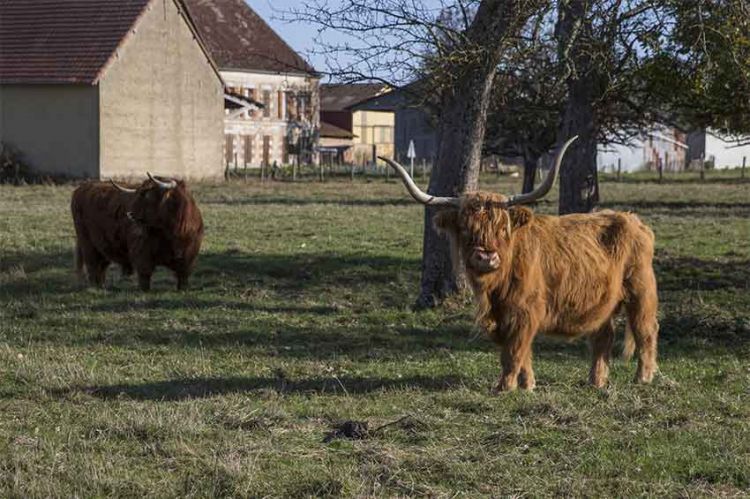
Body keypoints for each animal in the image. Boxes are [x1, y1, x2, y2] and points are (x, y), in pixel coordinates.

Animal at [71, 174, 204, 292]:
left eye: (147, 196)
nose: (129, 213)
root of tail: (82, 187)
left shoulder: (188, 256)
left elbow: (183, 275)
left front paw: (183, 289)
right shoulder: (142, 252)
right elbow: (145, 273)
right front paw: (144, 290)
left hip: (103, 246)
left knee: (101, 266)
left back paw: (102, 286)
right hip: (87, 242)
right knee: (92, 265)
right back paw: (94, 287)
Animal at [384, 138, 660, 394]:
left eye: (501, 229)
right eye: (465, 229)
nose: (486, 258)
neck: (495, 289)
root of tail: (633, 219)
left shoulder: (526, 312)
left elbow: (514, 351)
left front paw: (504, 387)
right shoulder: (504, 317)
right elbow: (519, 351)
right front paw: (527, 385)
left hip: (641, 290)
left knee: (646, 330)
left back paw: (643, 378)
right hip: (602, 302)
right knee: (603, 336)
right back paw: (596, 381)